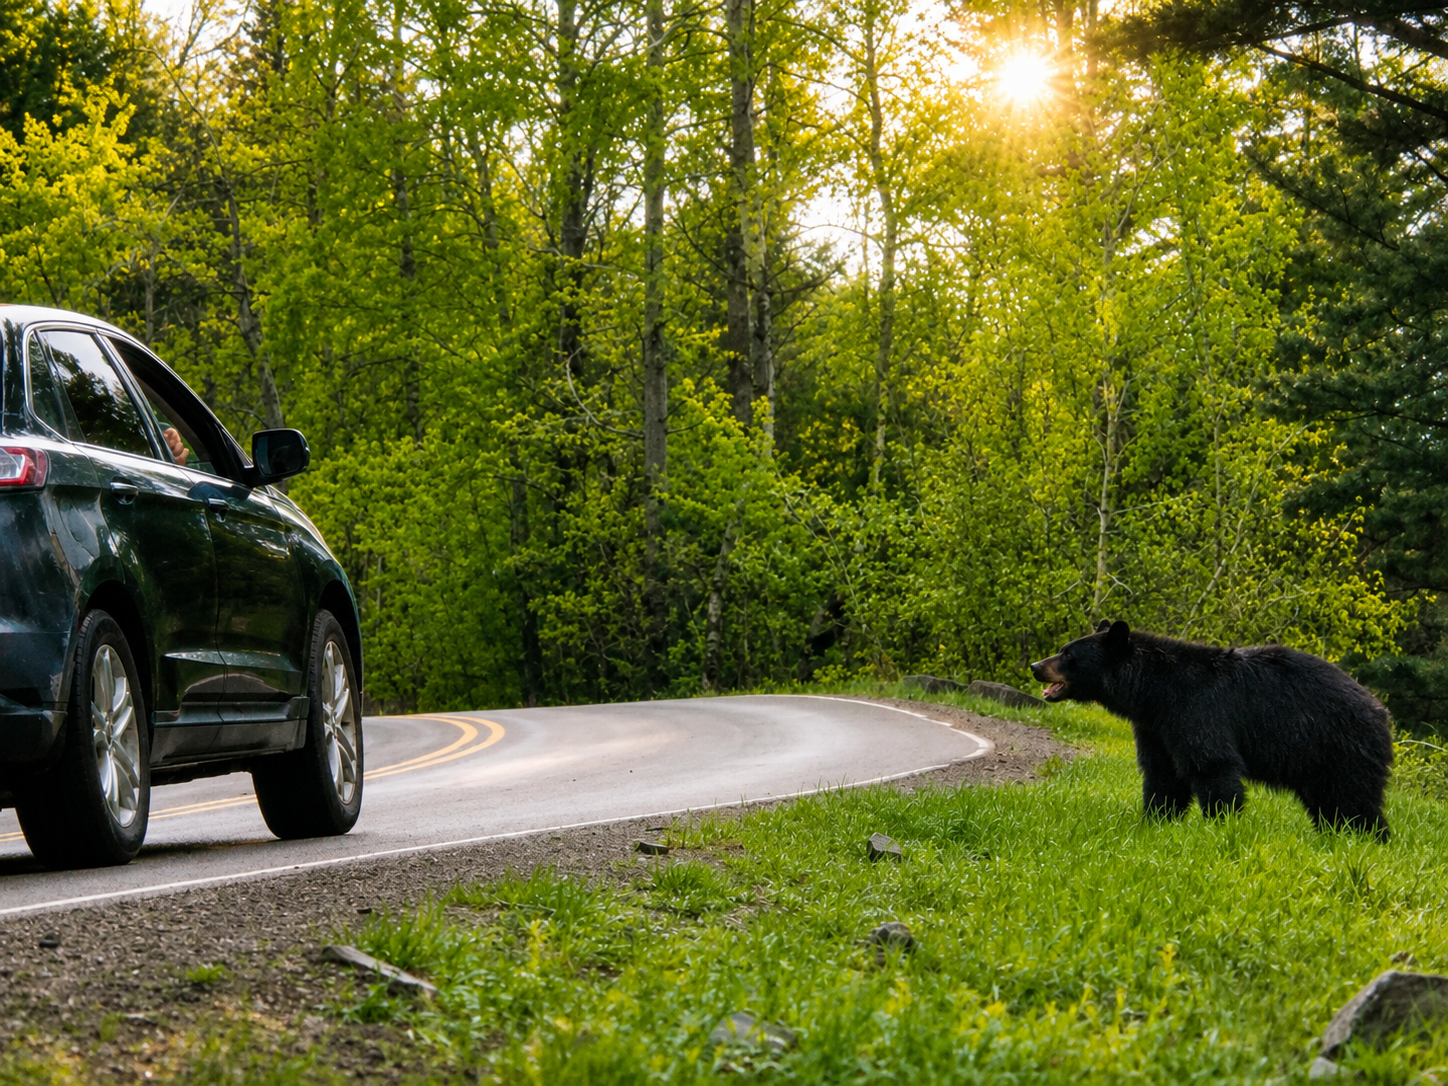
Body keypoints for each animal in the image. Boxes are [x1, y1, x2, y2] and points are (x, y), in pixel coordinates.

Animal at [1029, 620, 1393, 839]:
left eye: (1068, 654)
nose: (1035, 666)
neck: (1155, 692)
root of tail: (1381, 709)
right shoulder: (1156, 727)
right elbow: (1162, 774)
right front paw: (1155, 821)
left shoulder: (1197, 709)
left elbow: (1211, 764)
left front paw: (1222, 824)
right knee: (1328, 803)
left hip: (1340, 745)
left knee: (1353, 798)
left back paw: (1369, 838)